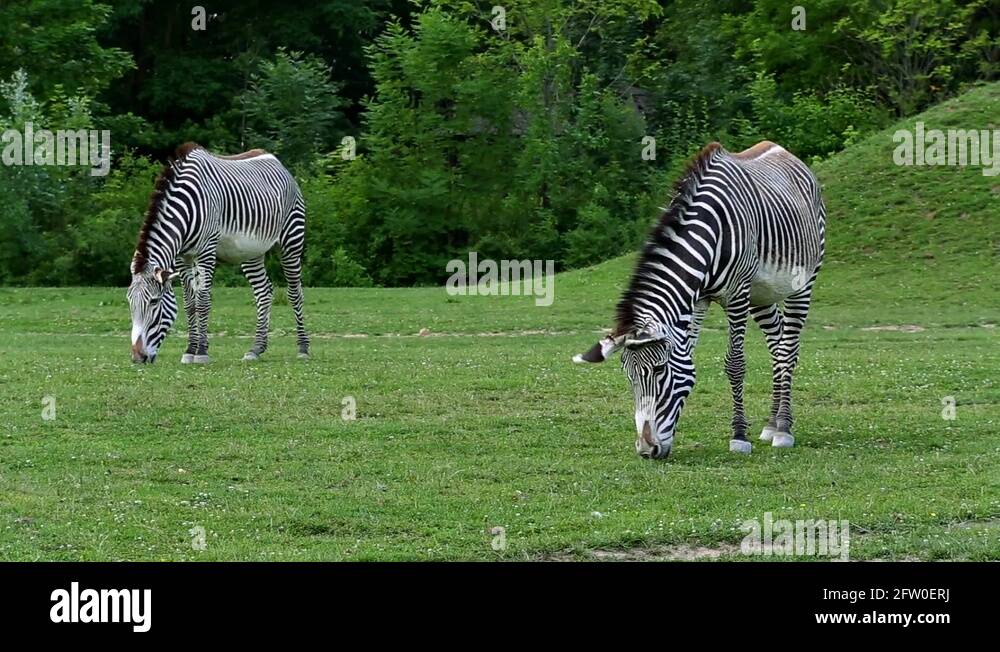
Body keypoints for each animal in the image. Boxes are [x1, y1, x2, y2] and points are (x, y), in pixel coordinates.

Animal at [127, 142, 310, 364]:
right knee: (263, 292)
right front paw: (190, 350)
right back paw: (256, 348)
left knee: (295, 293)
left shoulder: (206, 250)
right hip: (251, 251)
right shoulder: (183, 257)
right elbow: (190, 303)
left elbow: (203, 300)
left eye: (154, 301)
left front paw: (202, 352)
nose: (137, 357)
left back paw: (303, 348)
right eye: (129, 302)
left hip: (292, 240)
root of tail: (274, 158)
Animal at [573, 141, 825, 459]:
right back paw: (770, 424)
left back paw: (783, 428)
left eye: (659, 370)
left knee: (788, 349)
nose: (646, 450)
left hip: (802, 283)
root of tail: (783, 150)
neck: (708, 236)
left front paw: (739, 436)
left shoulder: (737, 295)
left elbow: (735, 364)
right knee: (777, 344)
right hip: (762, 295)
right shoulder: (698, 300)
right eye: (628, 376)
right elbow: (687, 358)